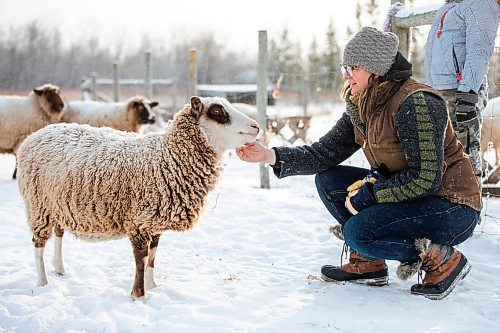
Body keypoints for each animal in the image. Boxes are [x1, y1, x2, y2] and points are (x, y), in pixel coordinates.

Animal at [17, 95, 260, 298]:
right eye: (217, 112)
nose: (256, 127)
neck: (168, 158)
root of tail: (36, 135)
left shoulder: (155, 221)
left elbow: (152, 256)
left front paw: (153, 285)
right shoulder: (138, 221)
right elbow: (141, 260)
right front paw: (139, 295)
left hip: (58, 204)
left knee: (58, 233)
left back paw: (59, 268)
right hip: (37, 205)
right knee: (38, 244)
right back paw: (42, 281)